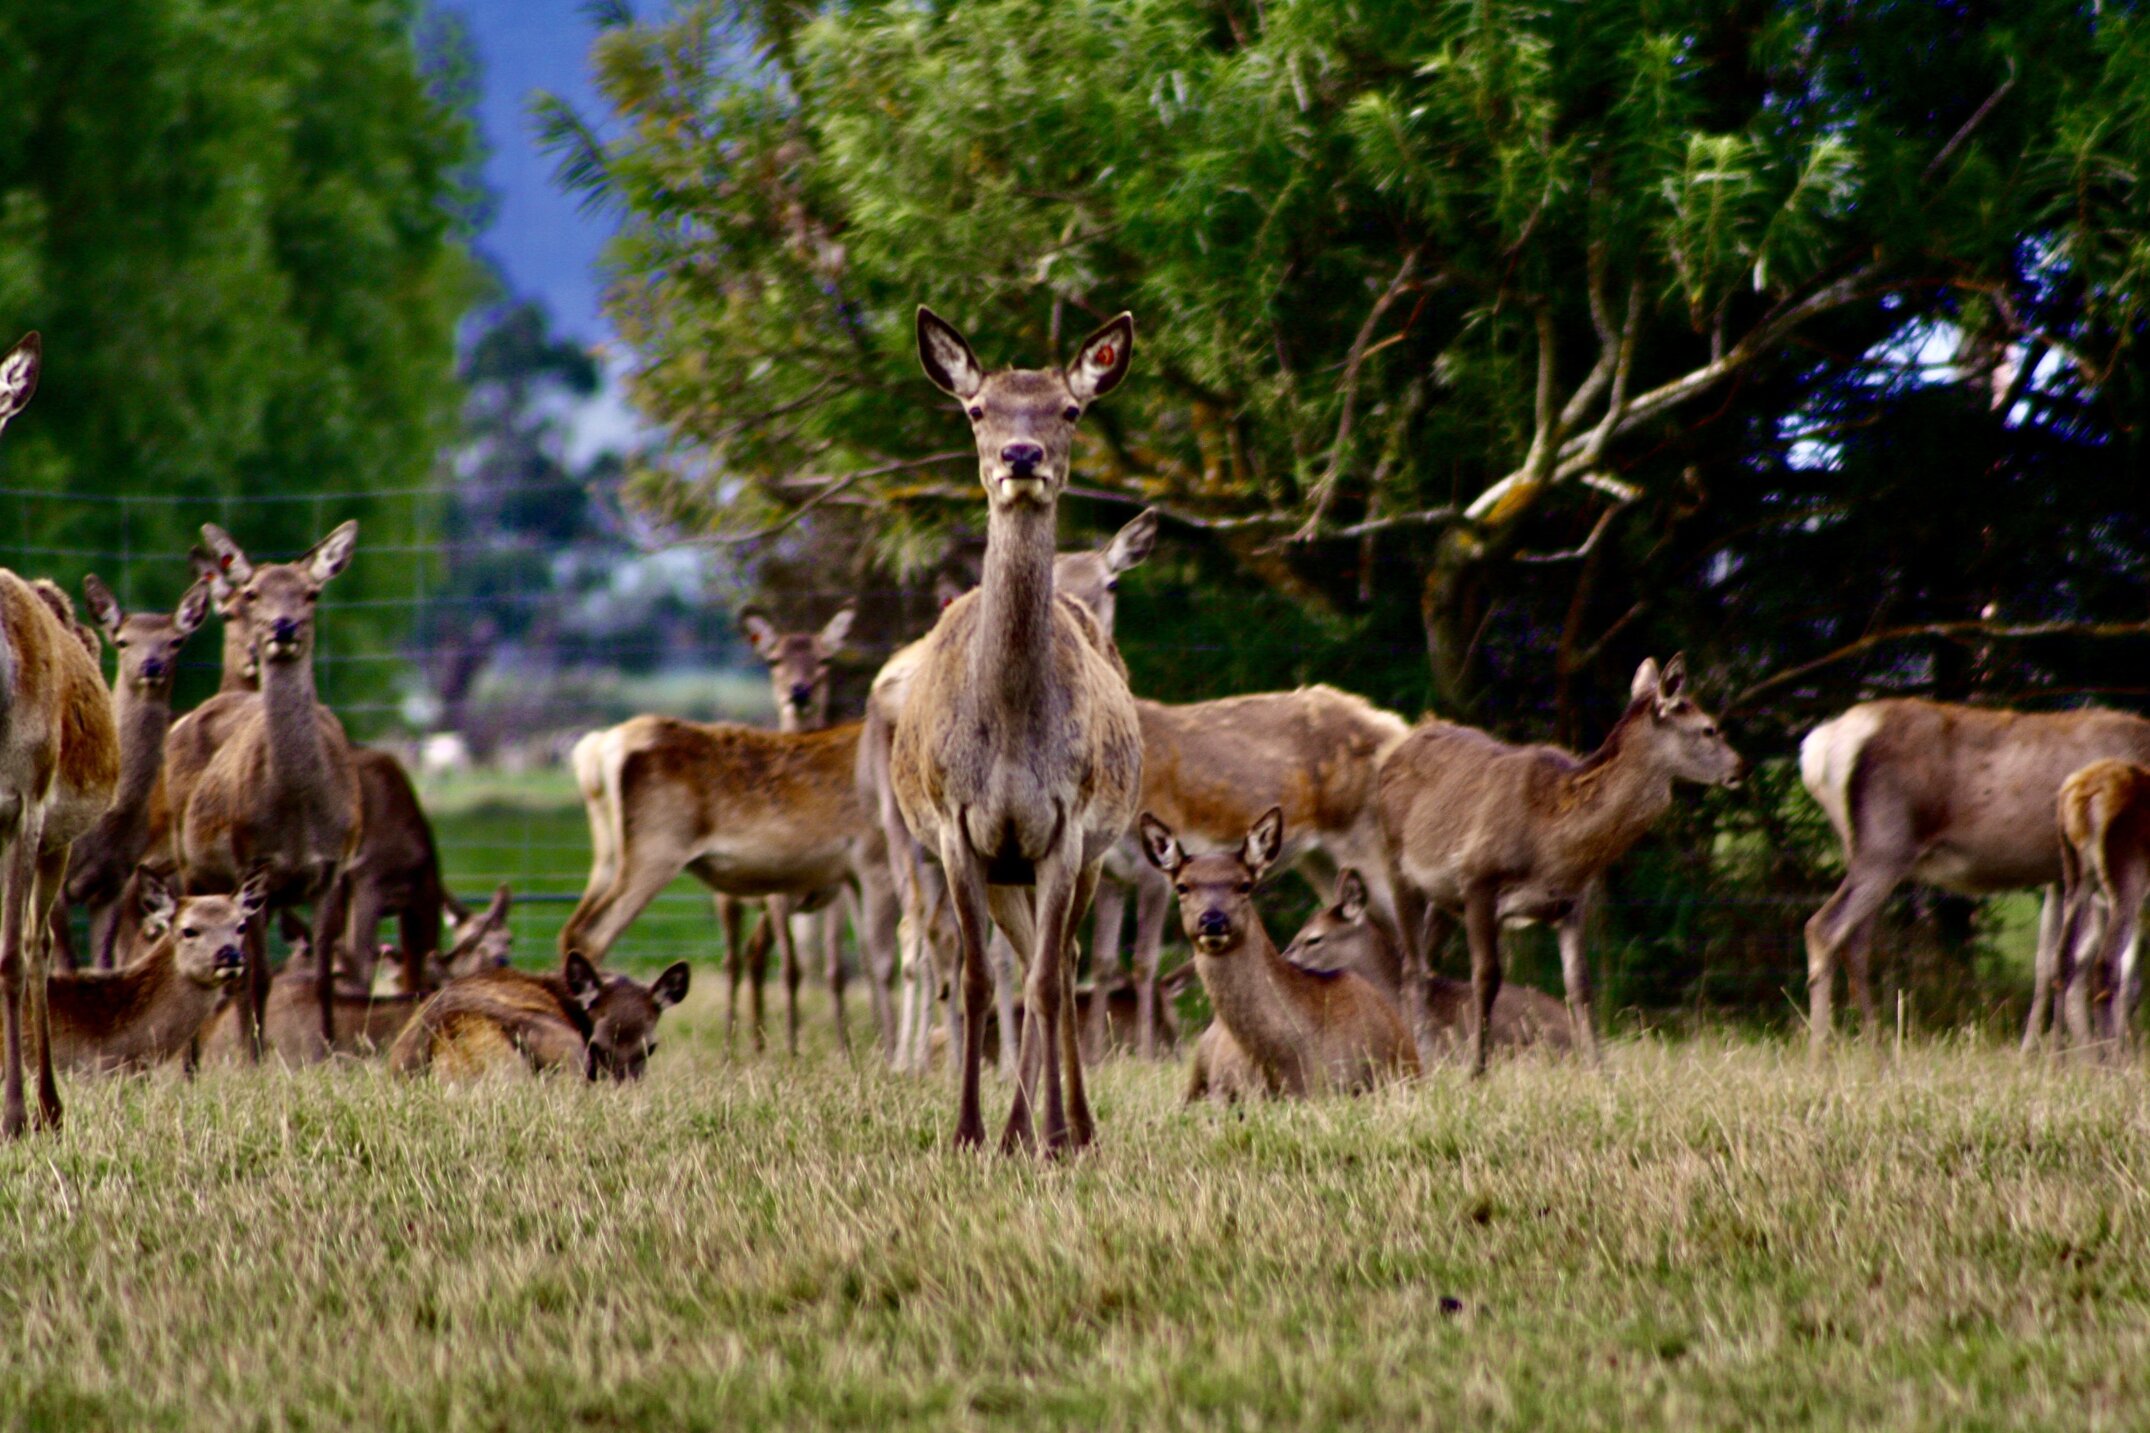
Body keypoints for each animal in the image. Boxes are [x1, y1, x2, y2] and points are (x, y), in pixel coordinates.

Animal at [159, 521, 364, 1057]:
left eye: (312, 593)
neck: (298, 811)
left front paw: (330, 1053)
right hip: (190, 862)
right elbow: (259, 977)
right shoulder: (251, 863)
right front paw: (255, 1057)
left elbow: (323, 975)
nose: (283, 628)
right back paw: (195, 1062)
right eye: (252, 593)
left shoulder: (333, 867)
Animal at [890, 307, 1148, 1154]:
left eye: (1069, 410)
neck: (1005, 730)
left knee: (1059, 963)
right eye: (978, 409)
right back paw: (1026, 1126)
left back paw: (1069, 1126)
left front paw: (1041, 1130)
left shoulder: (1066, 824)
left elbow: (1044, 978)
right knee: (1023, 952)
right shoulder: (956, 825)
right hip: (1007, 867)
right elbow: (975, 976)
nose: (1021, 455)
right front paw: (972, 1130)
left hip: (1086, 853)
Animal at [1378, 656, 1745, 1076]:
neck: (1554, 846)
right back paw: (1423, 1056)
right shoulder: (1479, 877)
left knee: (1425, 964)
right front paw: (1476, 1071)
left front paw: (1601, 1070)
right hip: (1396, 863)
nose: (1742, 767)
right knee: (1412, 967)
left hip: (1444, 896)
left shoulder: (1573, 900)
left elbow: (1580, 985)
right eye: (1708, 728)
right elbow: (1486, 976)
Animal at [1799, 699, 2150, 1055]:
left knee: (1855, 940)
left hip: (1864, 855)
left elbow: (2050, 962)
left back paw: (1877, 1052)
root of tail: (1816, 751)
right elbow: (2115, 973)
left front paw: (2040, 1053)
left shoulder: (2058, 875)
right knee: (1823, 928)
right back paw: (1819, 1054)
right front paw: (2103, 1054)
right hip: (1884, 850)